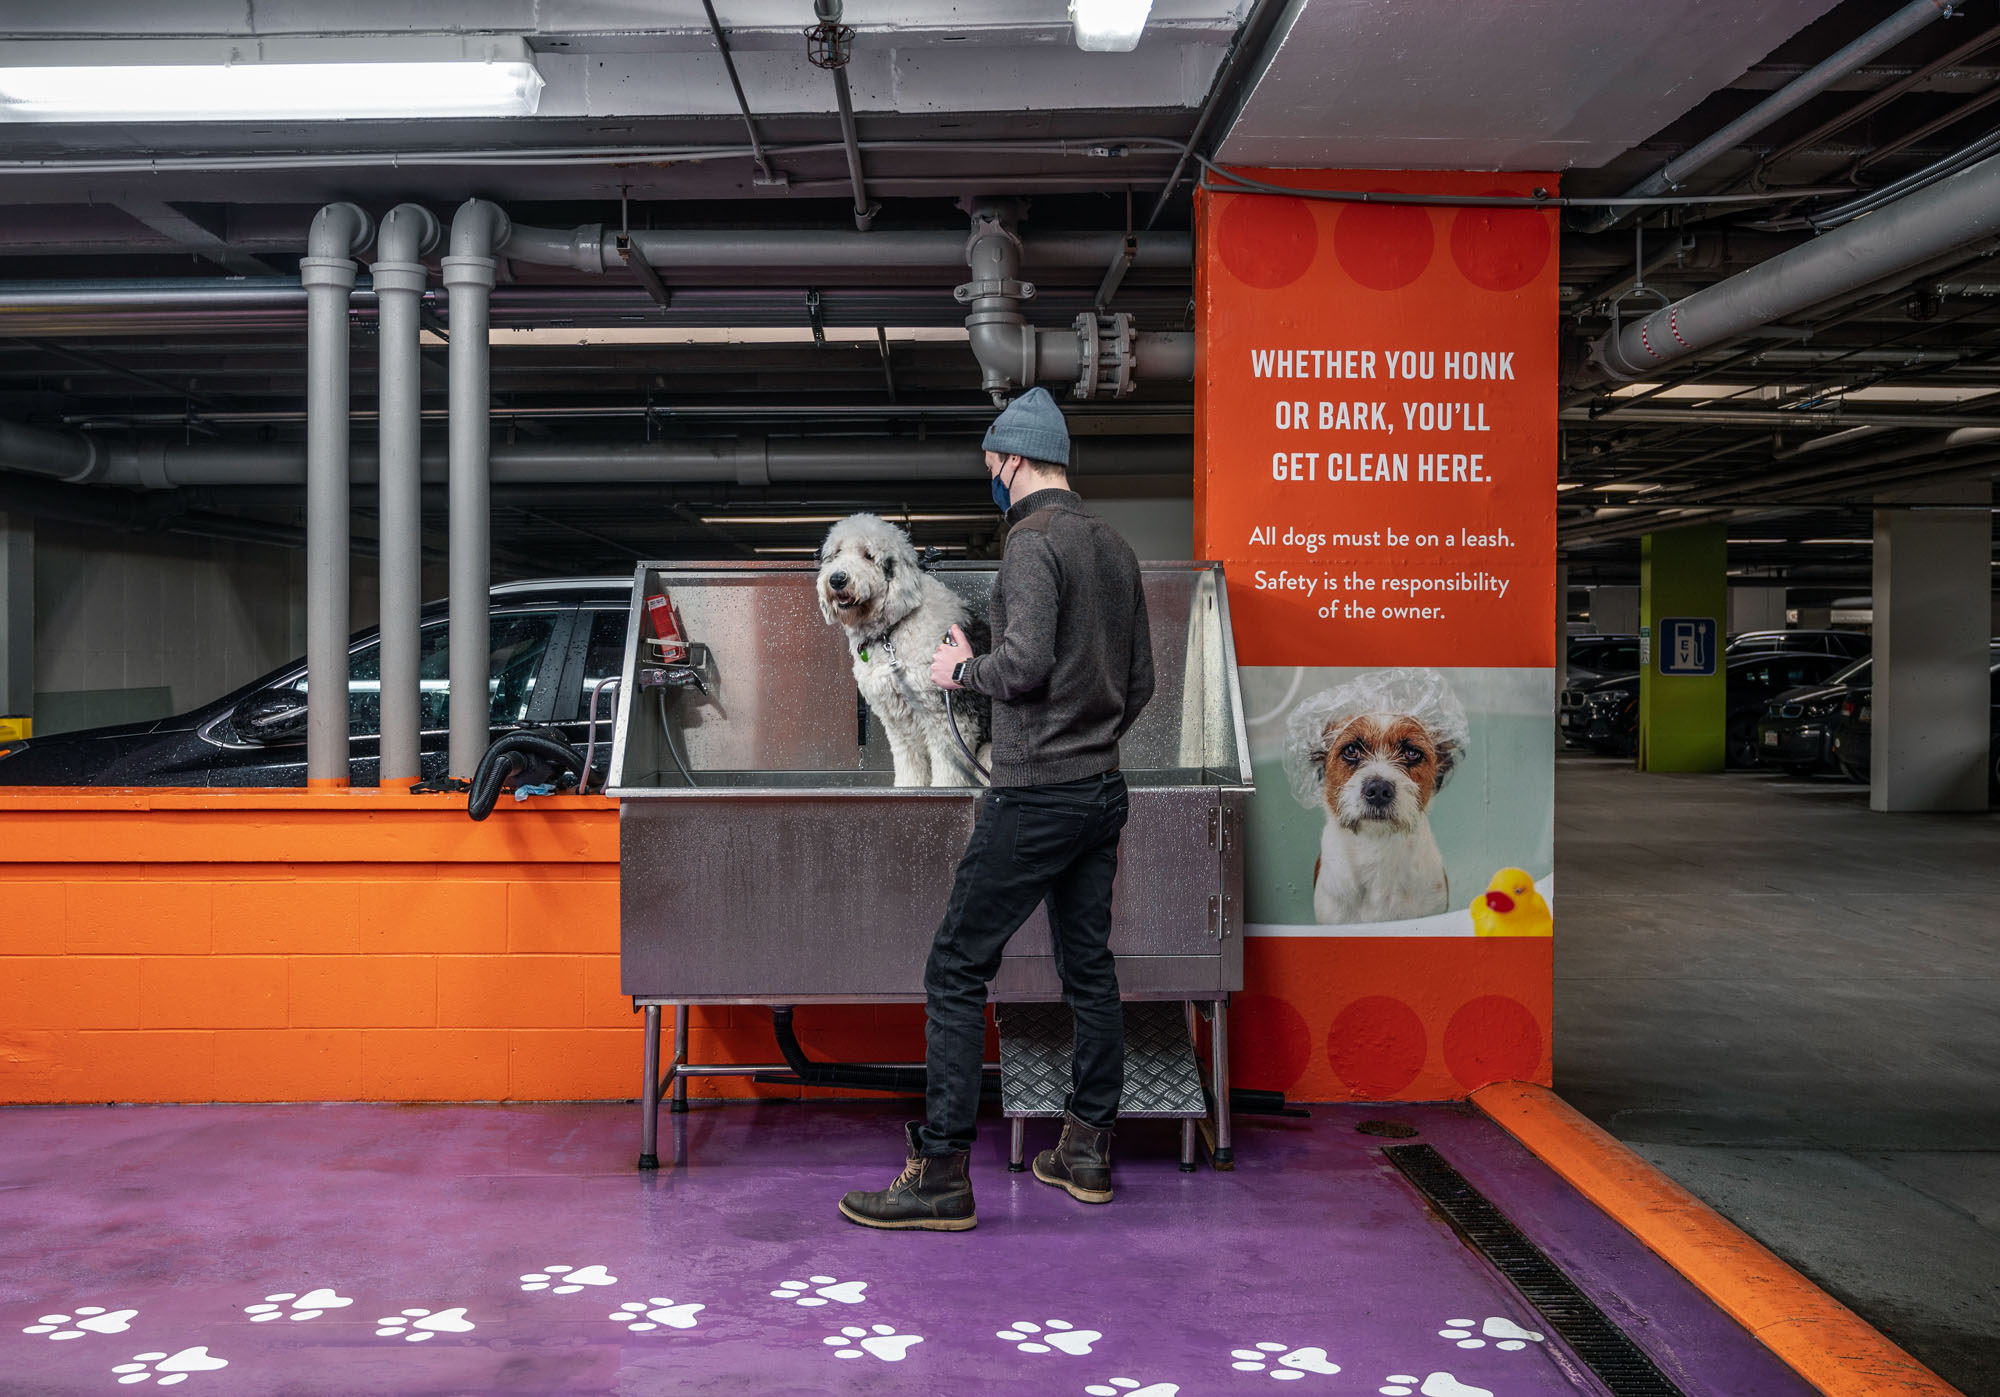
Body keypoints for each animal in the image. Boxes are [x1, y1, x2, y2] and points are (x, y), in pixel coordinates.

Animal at [812, 512, 992, 792]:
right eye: (837, 553)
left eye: (868, 555)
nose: (837, 579)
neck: (892, 632)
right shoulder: (899, 718)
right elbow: (909, 762)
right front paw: (908, 787)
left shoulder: (947, 717)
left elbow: (949, 771)